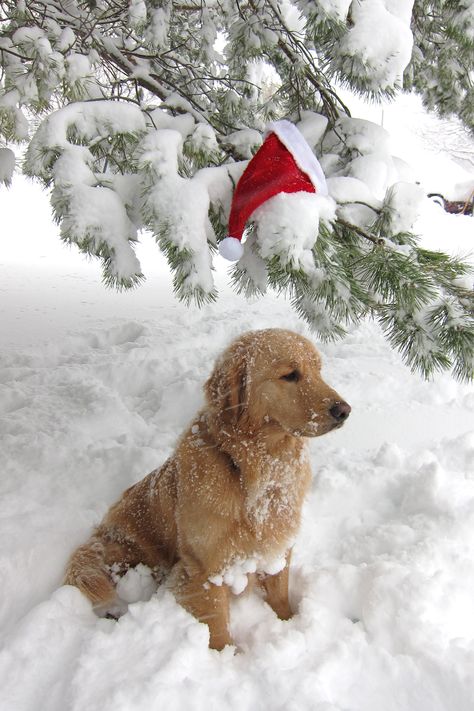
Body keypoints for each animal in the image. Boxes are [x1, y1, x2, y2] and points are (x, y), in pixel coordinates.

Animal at [65, 328, 350, 652]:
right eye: (290, 375)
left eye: (318, 370)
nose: (345, 411)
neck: (249, 467)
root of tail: (99, 533)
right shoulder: (206, 569)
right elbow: (218, 627)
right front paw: (227, 658)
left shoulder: (277, 547)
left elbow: (279, 594)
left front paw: (288, 624)